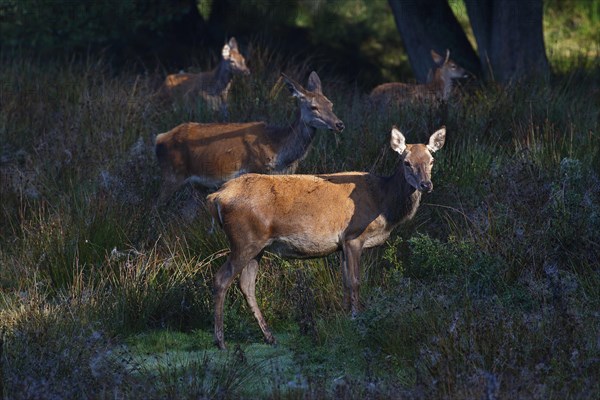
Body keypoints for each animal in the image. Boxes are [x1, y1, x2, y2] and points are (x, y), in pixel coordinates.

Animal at [152, 70, 344, 205]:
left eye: (331, 104)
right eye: (313, 107)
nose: (339, 124)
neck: (279, 150)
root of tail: (159, 138)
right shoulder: (255, 168)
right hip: (172, 174)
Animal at [206, 126, 446, 348]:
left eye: (432, 160)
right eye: (406, 162)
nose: (426, 185)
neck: (383, 203)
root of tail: (216, 196)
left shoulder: (341, 245)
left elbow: (345, 282)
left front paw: (346, 317)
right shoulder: (353, 236)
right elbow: (355, 281)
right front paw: (358, 319)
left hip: (258, 246)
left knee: (246, 285)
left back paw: (269, 337)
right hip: (244, 240)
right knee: (221, 279)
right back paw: (221, 341)